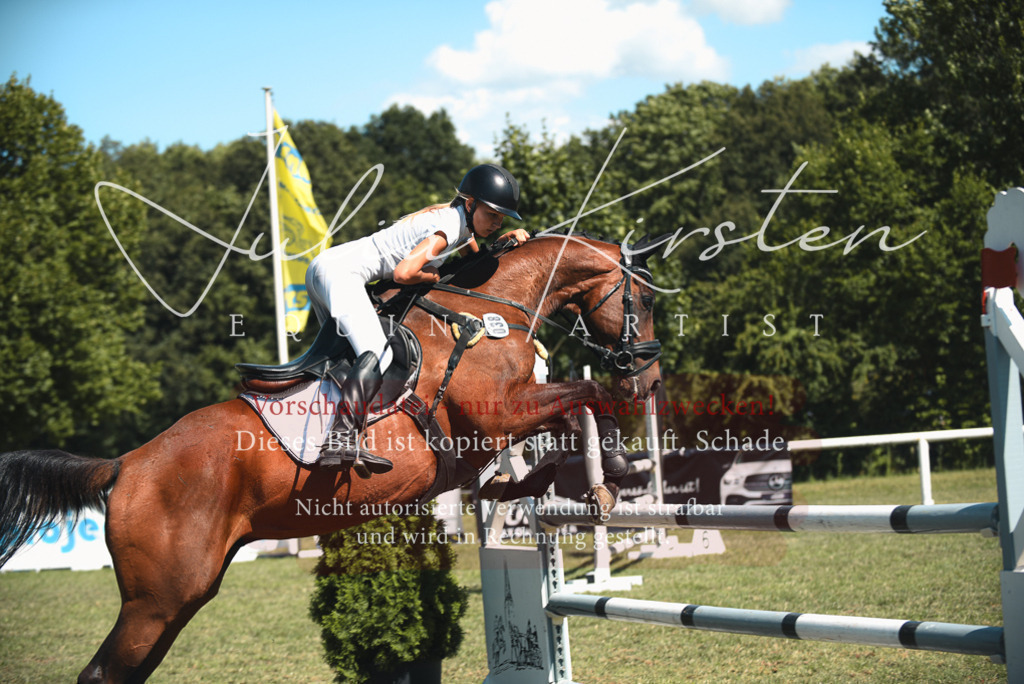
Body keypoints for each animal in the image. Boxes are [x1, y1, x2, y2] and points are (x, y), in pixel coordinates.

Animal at [0, 232, 663, 683]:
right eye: (646, 302)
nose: (651, 381)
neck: (489, 313)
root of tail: (126, 465)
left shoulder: (506, 421)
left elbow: (566, 422)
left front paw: (585, 480)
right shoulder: (498, 414)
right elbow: (587, 396)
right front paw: (608, 476)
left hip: (178, 599)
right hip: (158, 599)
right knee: (103, 673)